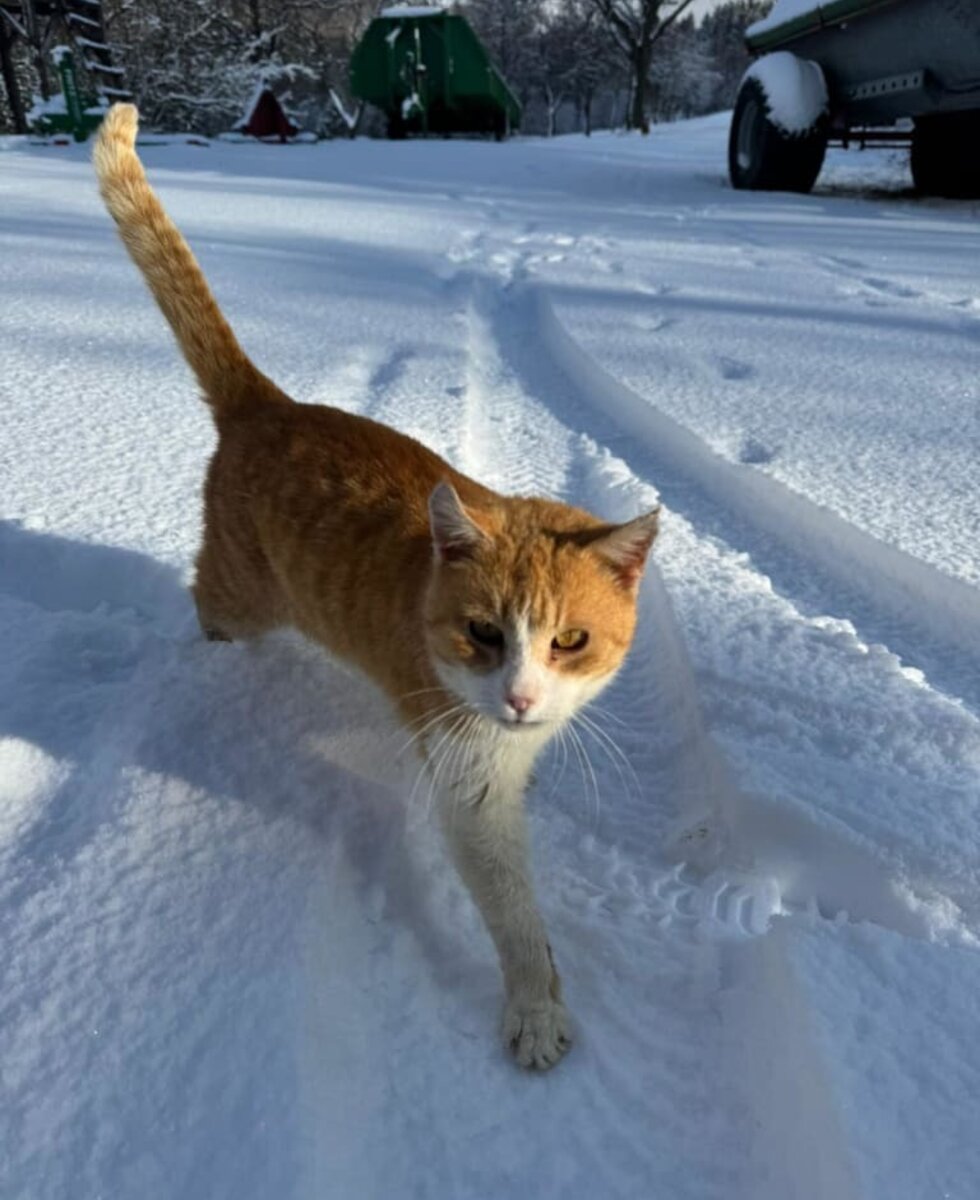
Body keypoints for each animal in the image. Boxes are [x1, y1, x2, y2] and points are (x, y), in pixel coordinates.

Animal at [93, 103, 657, 1070]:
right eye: (482, 633)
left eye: (570, 641)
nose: (518, 698)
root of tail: (271, 404)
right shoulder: (469, 791)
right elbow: (516, 916)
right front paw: (535, 1008)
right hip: (243, 595)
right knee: (206, 600)